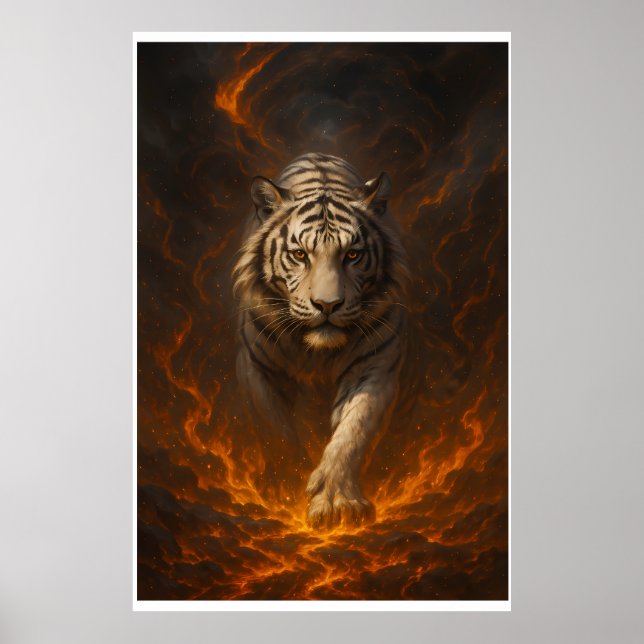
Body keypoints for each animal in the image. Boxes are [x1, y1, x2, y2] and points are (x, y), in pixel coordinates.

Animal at [232, 152, 412, 528]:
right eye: (300, 255)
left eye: (353, 255)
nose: (327, 305)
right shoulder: (256, 368)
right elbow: (276, 432)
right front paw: (287, 486)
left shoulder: (374, 368)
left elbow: (352, 434)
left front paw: (336, 501)